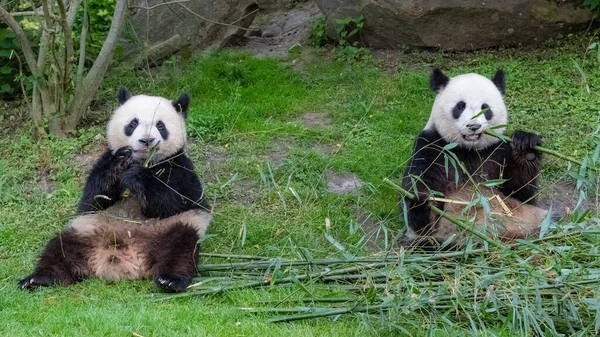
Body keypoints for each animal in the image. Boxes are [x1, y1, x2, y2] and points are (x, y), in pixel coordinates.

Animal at [18, 86, 212, 292]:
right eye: (133, 123)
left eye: (161, 126)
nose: (146, 141)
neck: (145, 161)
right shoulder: (103, 163)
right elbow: (93, 199)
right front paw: (120, 163)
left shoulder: (181, 166)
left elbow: (178, 199)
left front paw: (137, 176)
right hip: (86, 230)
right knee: (60, 249)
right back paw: (39, 278)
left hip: (173, 227)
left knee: (181, 249)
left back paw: (170, 280)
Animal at [400, 68, 552, 248]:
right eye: (460, 106)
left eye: (485, 108)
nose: (473, 126)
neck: (469, 149)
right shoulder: (432, 147)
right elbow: (419, 185)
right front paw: (423, 203)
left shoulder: (497, 149)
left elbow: (520, 192)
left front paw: (527, 146)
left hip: (533, 221)